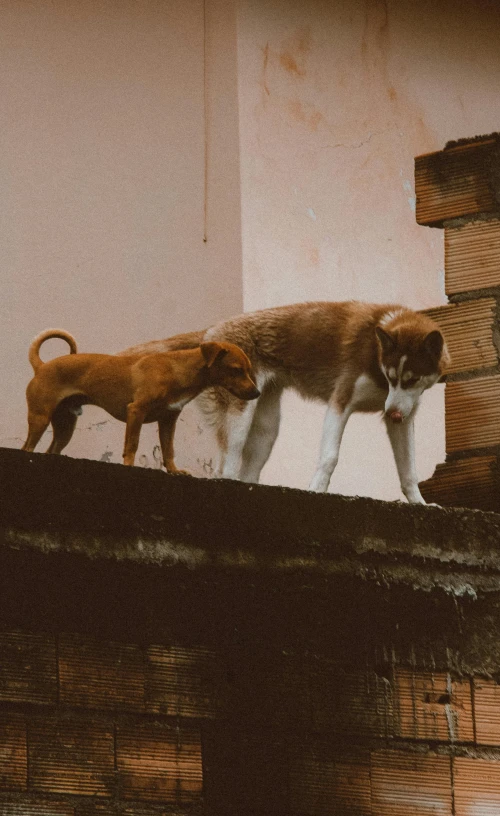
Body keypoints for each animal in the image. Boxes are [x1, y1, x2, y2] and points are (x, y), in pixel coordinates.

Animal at [22, 326, 260, 468]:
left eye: (249, 370)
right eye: (237, 370)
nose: (257, 393)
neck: (178, 370)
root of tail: (41, 366)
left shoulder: (168, 421)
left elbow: (168, 450)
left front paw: (174, 471)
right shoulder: (136, 411)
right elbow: (132, 445)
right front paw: (128, 465)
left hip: (65, 426)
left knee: (50, 449)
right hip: (40, 418)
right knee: (27, 448)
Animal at [121, 302, 450, 504]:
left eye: (411, 380)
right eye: (393, 376)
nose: (392, 413)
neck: (376, 351)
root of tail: (210, 335)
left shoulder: (403, 417)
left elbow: (408, 471)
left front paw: (420, 504)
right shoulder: (340, 403)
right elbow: (329, 457)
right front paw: (316, 491)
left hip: (265, 432)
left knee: (247, 470)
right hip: (239, 421)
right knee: (225, 468)